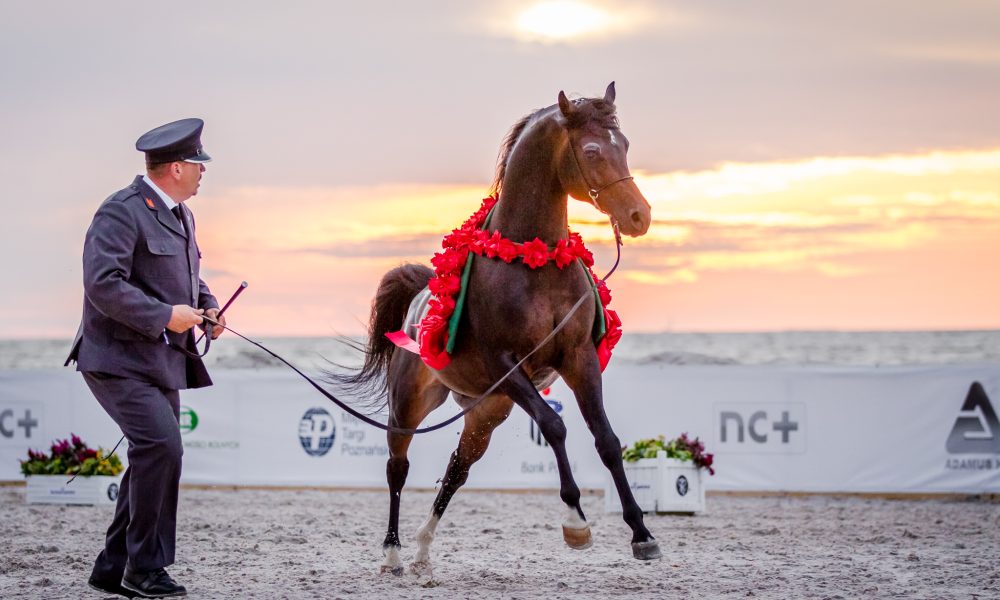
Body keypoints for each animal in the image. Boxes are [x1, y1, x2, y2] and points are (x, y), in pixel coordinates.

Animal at [338, 82, 658, 576]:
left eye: (623, 145)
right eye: (591, 150)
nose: (639, 216)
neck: (535, 261)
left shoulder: (578, 359)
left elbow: (606, 440)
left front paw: (641, 533)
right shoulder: (508, 365)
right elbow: (555, 427)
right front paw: (575, 522)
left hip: (487, 410)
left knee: (457, 469)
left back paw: (423, 548)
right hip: (409, 405)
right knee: (397, 467)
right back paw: (393, 552)